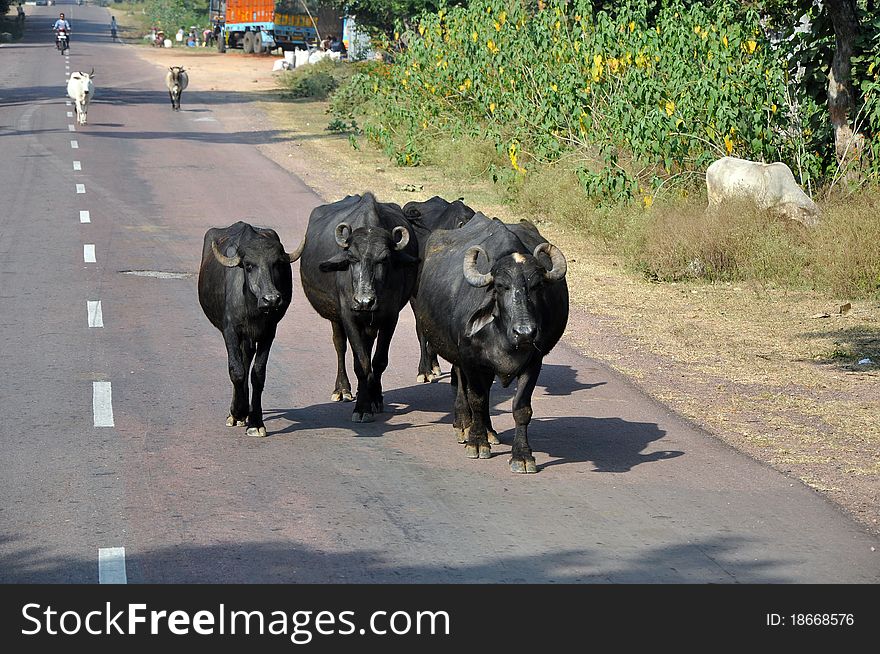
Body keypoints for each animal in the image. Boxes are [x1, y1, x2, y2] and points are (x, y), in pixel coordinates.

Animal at [198, 223, 304, 438]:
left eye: (277, 264)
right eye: (248, 265)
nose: (271, 299)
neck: (253, 310)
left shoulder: (268, 332)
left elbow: (257, 373)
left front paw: (255, 421)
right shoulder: (230, 331)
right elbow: (236, 370)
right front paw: (238, 412)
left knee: (247, 360)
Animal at [296, 192, 420, 422]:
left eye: (384, 259)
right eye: (352, 257)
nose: (364, 301)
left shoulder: (390, 317)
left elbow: (378, 361)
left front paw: (375, 398)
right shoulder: (349, 316)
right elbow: (360, 363)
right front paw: (362, 406)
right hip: (336, 317)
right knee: (340, 345)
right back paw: (342, 389)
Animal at [414, 213, 572, 474]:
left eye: (537, 285)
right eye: (500, 286)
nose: (526, 332)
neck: (505, 337)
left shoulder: (533, 362)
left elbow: (521, 408)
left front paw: (522, 456)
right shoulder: (470, 359)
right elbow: (476, 399)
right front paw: (477, 442)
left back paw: (489, 430)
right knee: (462, 386)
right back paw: (464, 424)